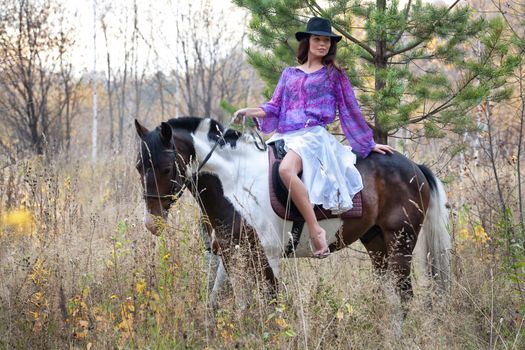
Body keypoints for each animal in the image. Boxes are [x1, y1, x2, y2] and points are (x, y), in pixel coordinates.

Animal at [133, 117, 448, 312]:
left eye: (165, 168)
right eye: (139, 167)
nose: (152, 223)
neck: (236, 181)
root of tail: (415, 167)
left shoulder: (267, 256)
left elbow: (271, 304)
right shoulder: (230, 254)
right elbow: (226, 302)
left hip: (400, 241)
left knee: (404, 296)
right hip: (377, 242)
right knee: (393, 297)